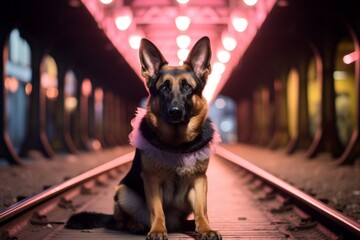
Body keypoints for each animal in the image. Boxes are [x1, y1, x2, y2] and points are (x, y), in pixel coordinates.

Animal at [66, 36, 221, 240]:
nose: (175, 111)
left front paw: (205, 229)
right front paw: (157, 230)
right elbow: (156, 209)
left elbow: (201, 210)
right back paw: (137, 225)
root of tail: (174, 224)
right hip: (124, 192)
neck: (177, 144)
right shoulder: (152, 180)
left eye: (187, 87)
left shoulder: (199, 180)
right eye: (164, 88)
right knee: (123, 221)